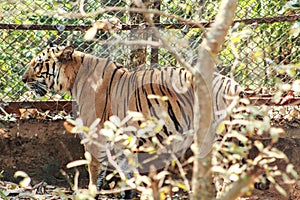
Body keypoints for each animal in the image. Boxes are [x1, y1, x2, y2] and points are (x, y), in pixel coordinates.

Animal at [22, 45, 244, 197]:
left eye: (38, 63)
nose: (23, 79)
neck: (74, 77)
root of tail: (236, 86)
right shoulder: (122, 140)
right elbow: (126, 174)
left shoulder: (96, 137)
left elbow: (95, 170)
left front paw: (92, 193)